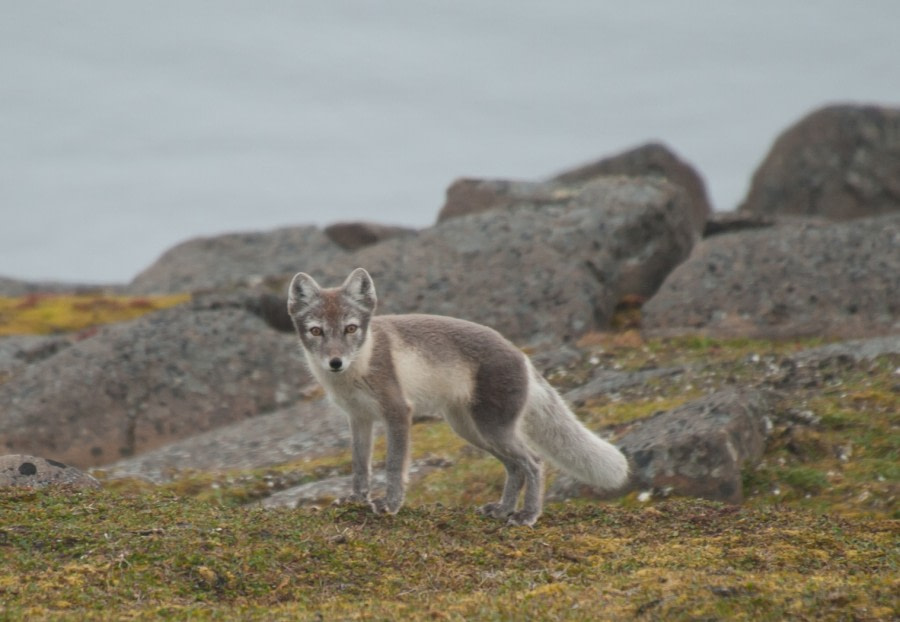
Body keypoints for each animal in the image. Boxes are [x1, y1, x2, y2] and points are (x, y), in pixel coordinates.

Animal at [286, 268, 624, 528]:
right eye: (316, 331)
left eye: (350, 328)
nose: (335, 362)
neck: (359, 366)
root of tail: (523, 357)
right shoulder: (358, 418)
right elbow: (360, 465)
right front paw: (356, 500)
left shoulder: (398, 412)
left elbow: (394, 465)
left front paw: (390, 504)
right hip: (471, 430)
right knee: (515, 468)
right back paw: (502, 510)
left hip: (493, 429)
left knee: (533, 462)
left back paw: (527, 515)